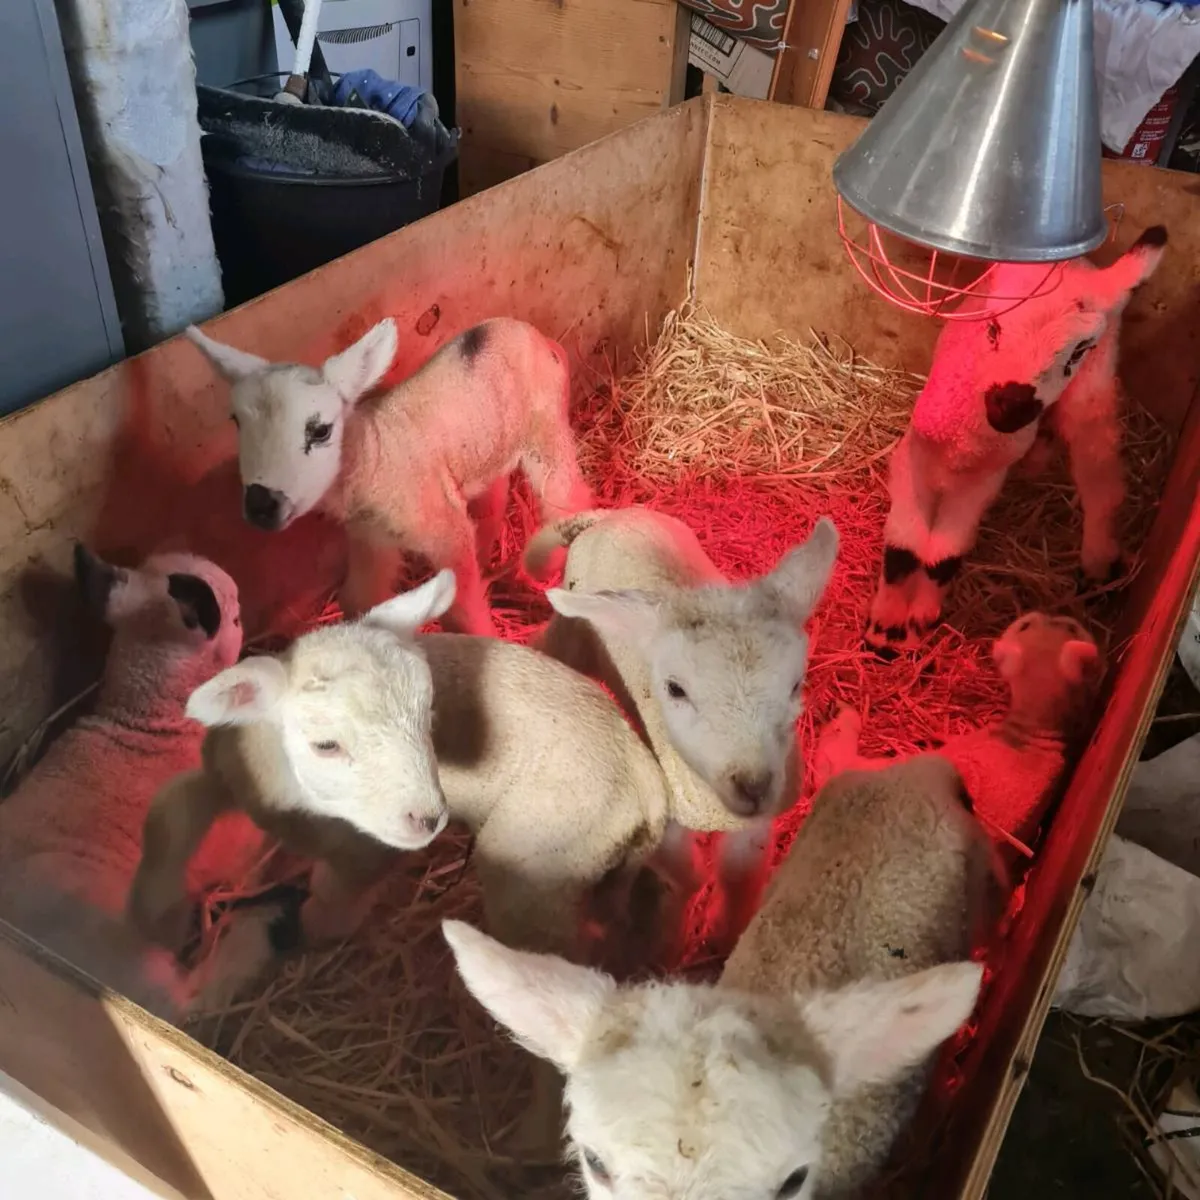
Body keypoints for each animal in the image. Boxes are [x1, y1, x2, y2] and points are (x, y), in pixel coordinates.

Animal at [185, 315, 595, 638]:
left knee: (565, 494)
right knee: (493, 499)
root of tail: (534, 335)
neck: (374, 454)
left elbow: (460, 611)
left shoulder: (442, 532)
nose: (260, 504)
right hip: (489, 441)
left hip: (545, 426)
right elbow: (359, 599)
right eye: (236, 421)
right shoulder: (371, 539)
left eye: (320, 430)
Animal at [523, 506, 840, 957]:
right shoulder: (665, 807)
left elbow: (738, 874)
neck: (713, 803)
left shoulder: (755, 821)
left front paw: (726, 934)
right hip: (573, 635)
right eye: (675, 689)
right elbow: (686, 873)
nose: (754, 786)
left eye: (797, 684)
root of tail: (611, 515)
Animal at [865, 226, 1167, 658]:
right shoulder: (912, 457)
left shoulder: (984, 483)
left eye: (1078, 349)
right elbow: (904, 550)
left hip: (1093, 384)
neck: (964, 451)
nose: (1012, 407)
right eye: (992, 327)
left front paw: (916, 618)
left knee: (1100, 474)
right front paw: (887, 630)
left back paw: (1098, 567)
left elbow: (945, 554)